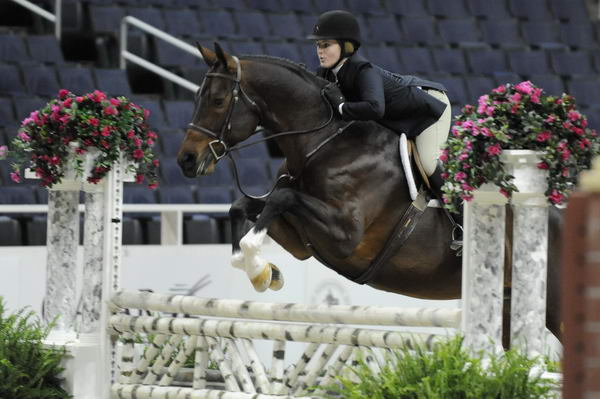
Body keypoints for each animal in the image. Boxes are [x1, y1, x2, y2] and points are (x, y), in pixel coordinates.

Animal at [177, 42, 564, 346]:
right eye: (195, 98)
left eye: (217, 100)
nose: (186, 160)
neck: (322, 142)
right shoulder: (302, 241)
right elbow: (244, 206)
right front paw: (262, 271)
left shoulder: (346, 237)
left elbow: (280, 199)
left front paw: (257, 267)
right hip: (508, 304)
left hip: (552, 307)